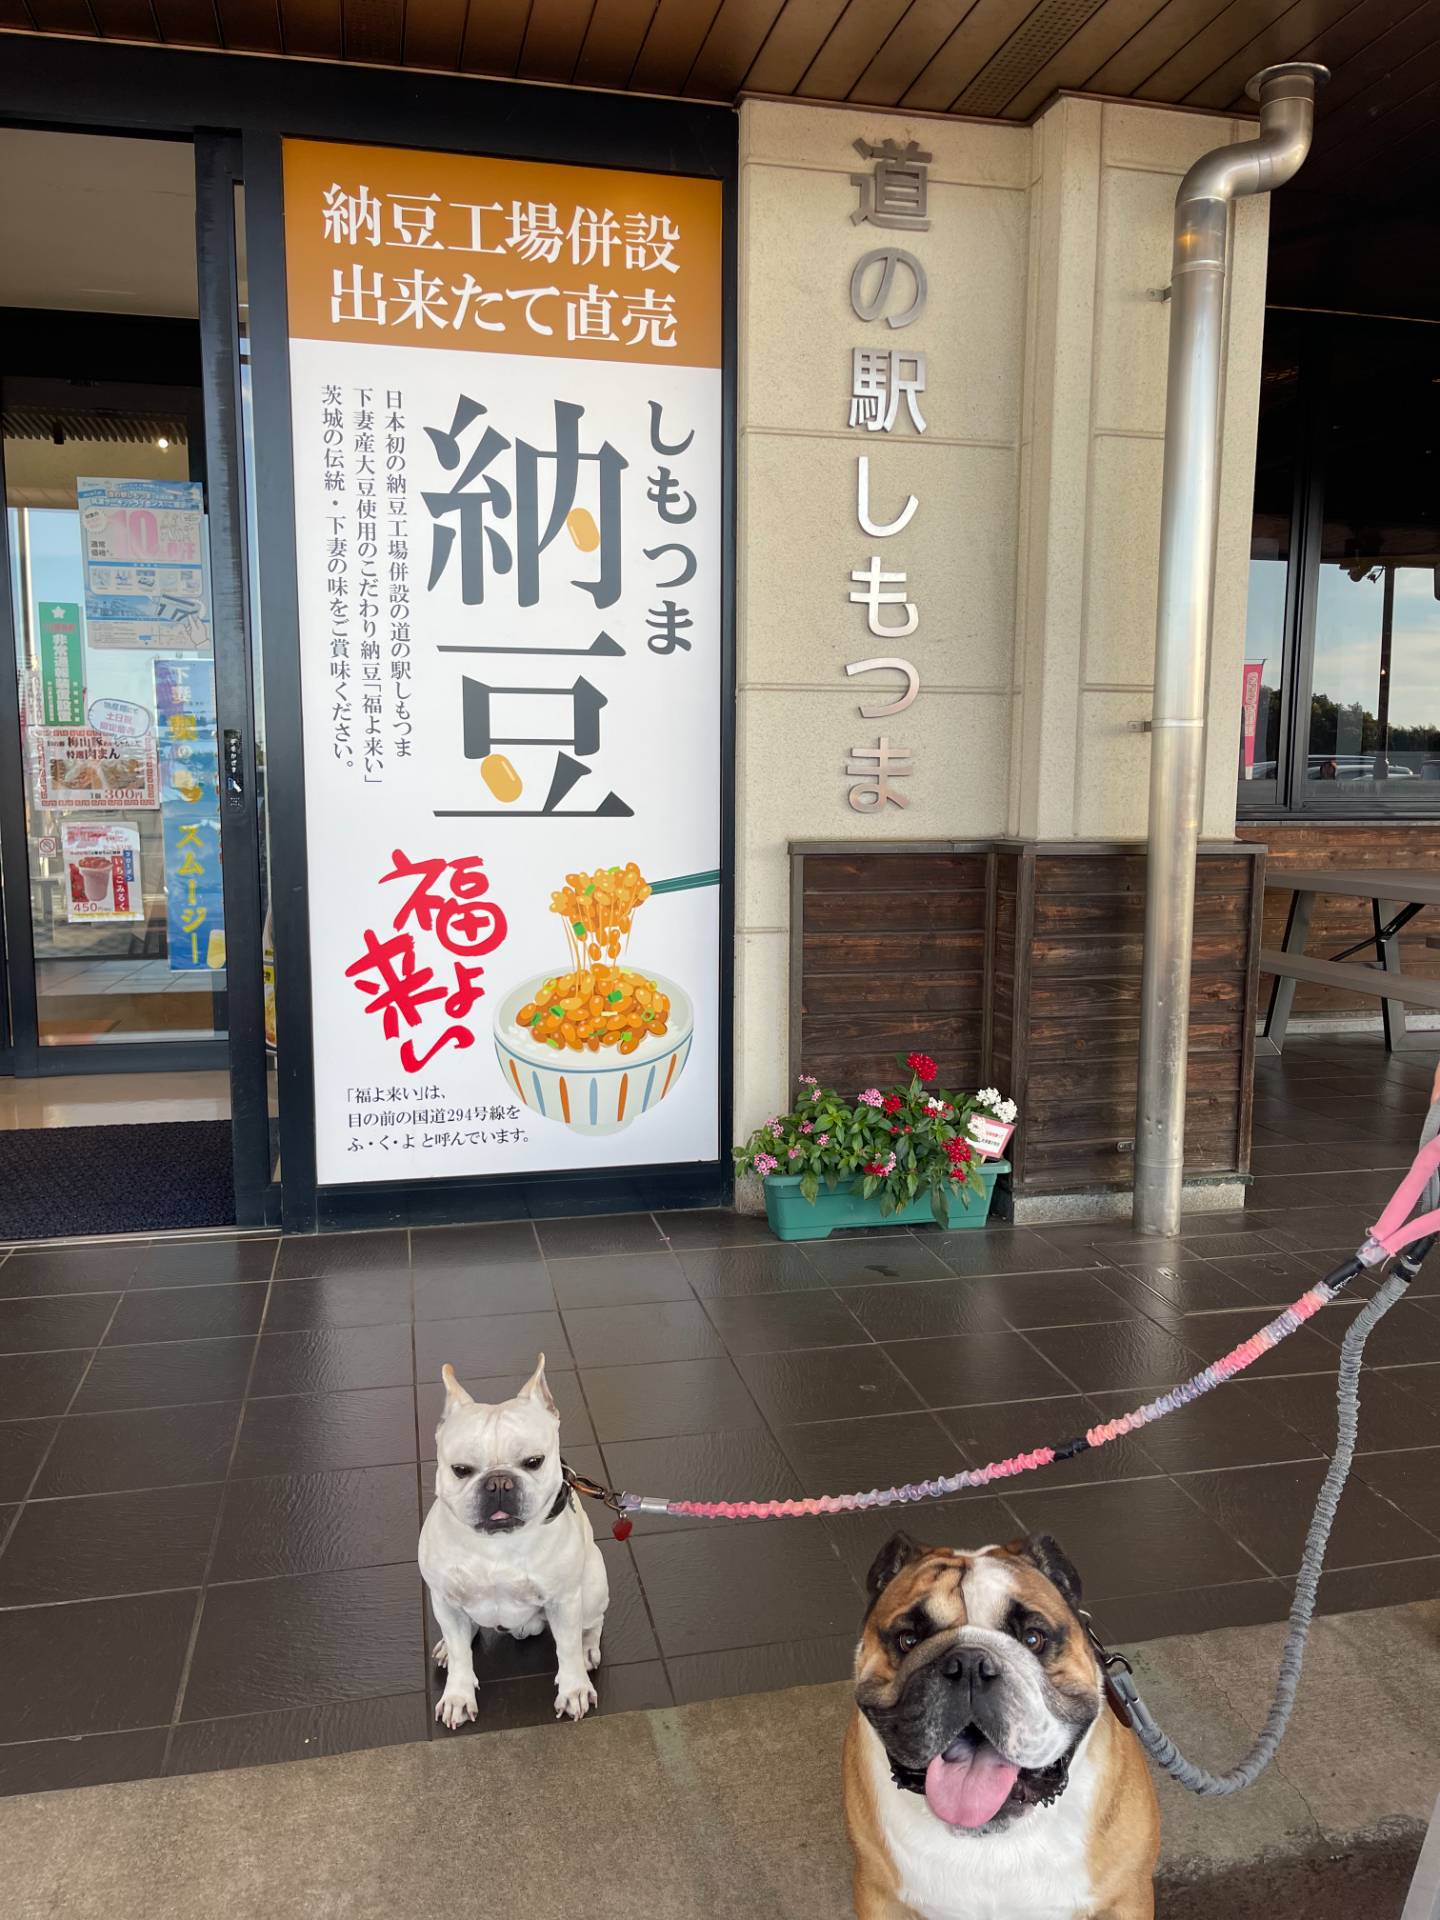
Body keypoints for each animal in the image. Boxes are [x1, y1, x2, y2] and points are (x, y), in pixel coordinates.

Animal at [419, 1354, 608, 1727]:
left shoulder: (564, 1601)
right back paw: (448, 1645)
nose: (498, 1483)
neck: (497, 1544)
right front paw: (458, 1694)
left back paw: (587, 1648)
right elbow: (462, 1655)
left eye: (534, 1462)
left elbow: (566, 1647)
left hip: (593, 1585)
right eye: (460, 1470)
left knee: (592, 1625)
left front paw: (574, 1689)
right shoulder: (444, 1600)